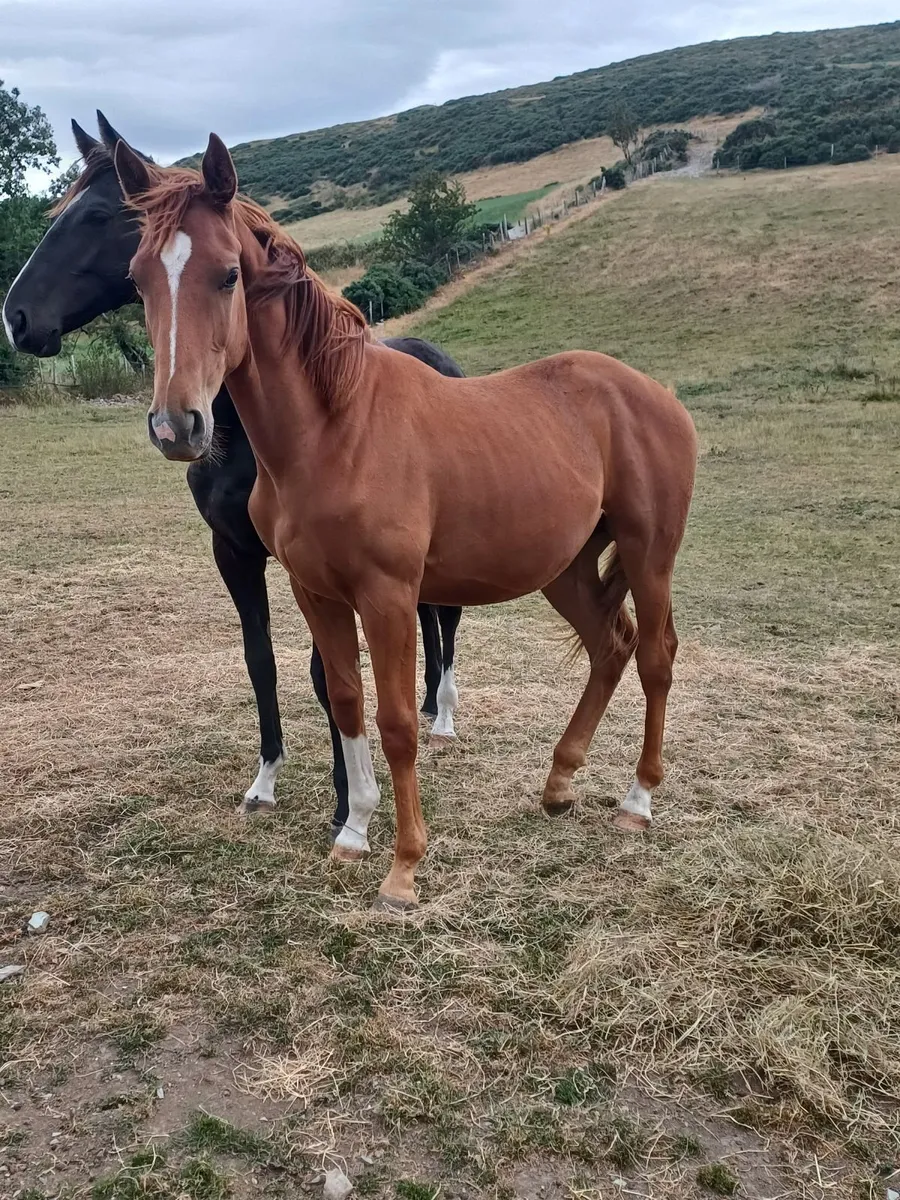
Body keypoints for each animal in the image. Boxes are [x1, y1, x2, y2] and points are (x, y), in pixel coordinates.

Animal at [1, 114, 464, 834]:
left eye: (100, 214)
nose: (17, 317)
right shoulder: (233, 551)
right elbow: (260, 661)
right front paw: (267, 779)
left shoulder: (313, 564)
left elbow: (325, 673)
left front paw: (344, 801)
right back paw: (424, 704)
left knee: (446, 616)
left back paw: (442, 713)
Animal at [115, 134, 697, 910]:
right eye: (140, 279)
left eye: (228, 275)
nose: (178, 426)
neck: (335, 431)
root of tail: (655, 395)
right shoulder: (315, 592)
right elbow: (346, 701)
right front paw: (353, 833)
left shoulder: (389, 596)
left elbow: (396, 723)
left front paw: (403, 867)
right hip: (567, 568)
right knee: (612, 647)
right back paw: (558, 783)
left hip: (647, 553)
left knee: (656, 656)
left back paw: (637, 800)